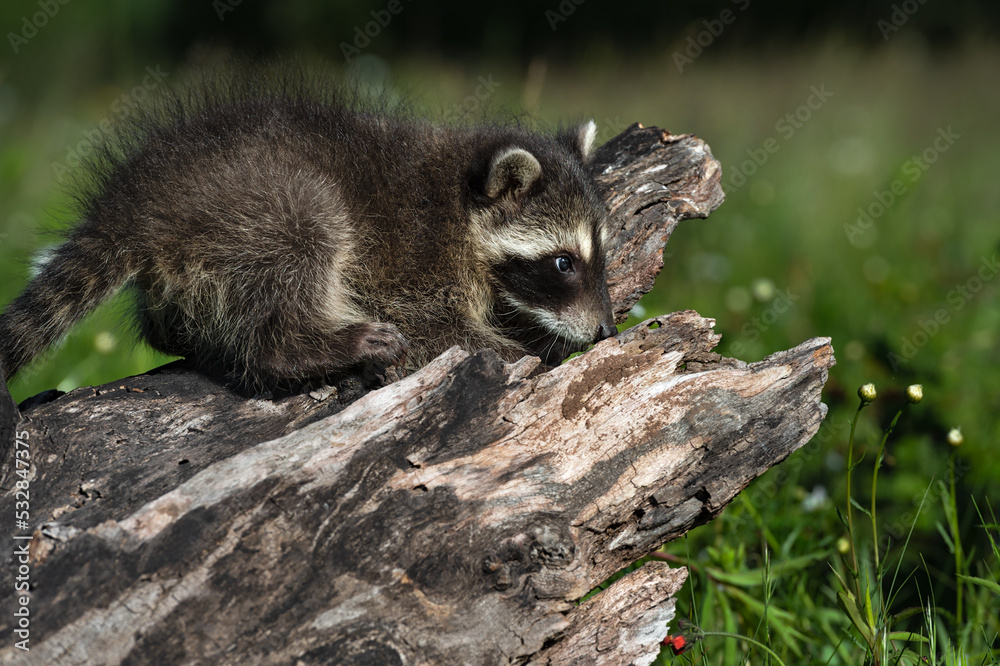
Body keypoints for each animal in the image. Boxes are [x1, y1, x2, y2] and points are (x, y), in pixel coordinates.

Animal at [0, 79, 617, 391]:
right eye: (563, 263)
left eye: (599, 257)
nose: (607, 331)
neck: (464, 203)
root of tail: (133, 204)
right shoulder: (418, 257)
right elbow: (437, 328)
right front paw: (527, 352)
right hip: (262, 207)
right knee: (307, 241)